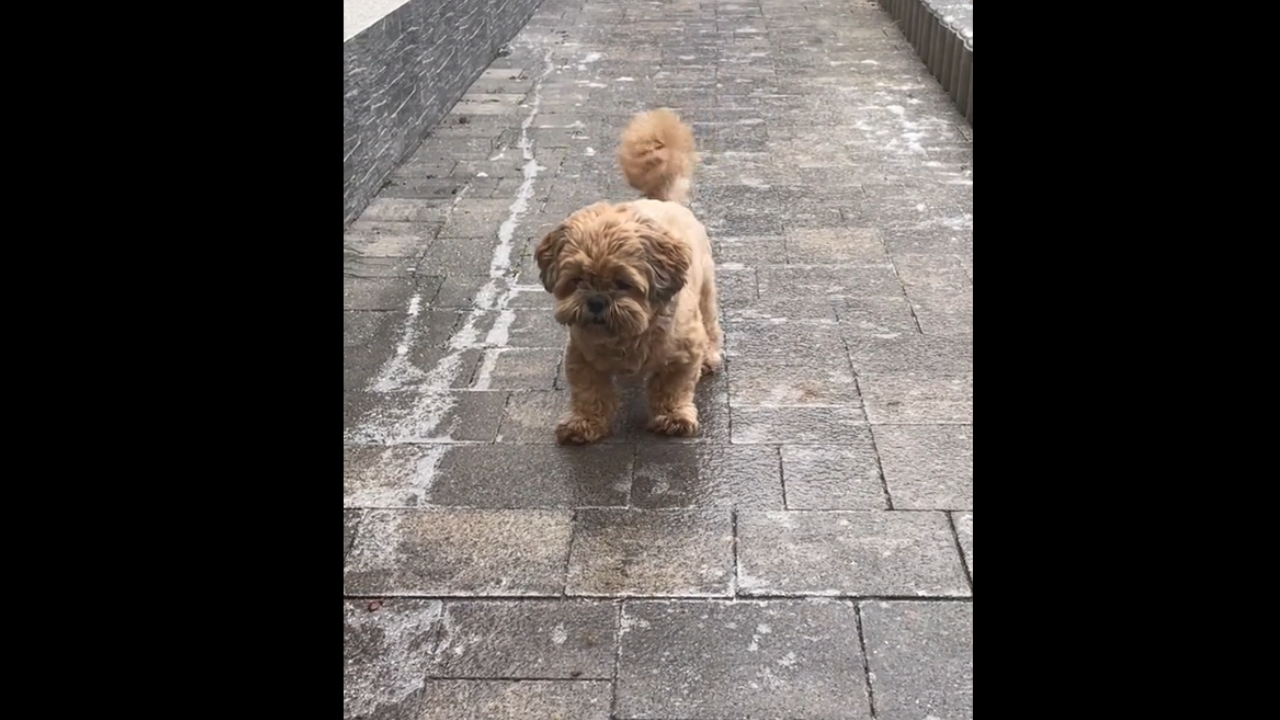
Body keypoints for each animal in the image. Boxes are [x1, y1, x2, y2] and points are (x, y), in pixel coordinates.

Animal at [535, 107, 727, 443]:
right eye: (577, 281)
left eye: (622, 283)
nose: (597, 301)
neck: (625, 336)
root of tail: (663, 200)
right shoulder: (581, 357)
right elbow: (588, 393)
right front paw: (583, 423)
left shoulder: (683, 354)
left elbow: (672, 388)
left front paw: (673, 416)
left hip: (706, 292)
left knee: (712, 326)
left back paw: (710, 357)